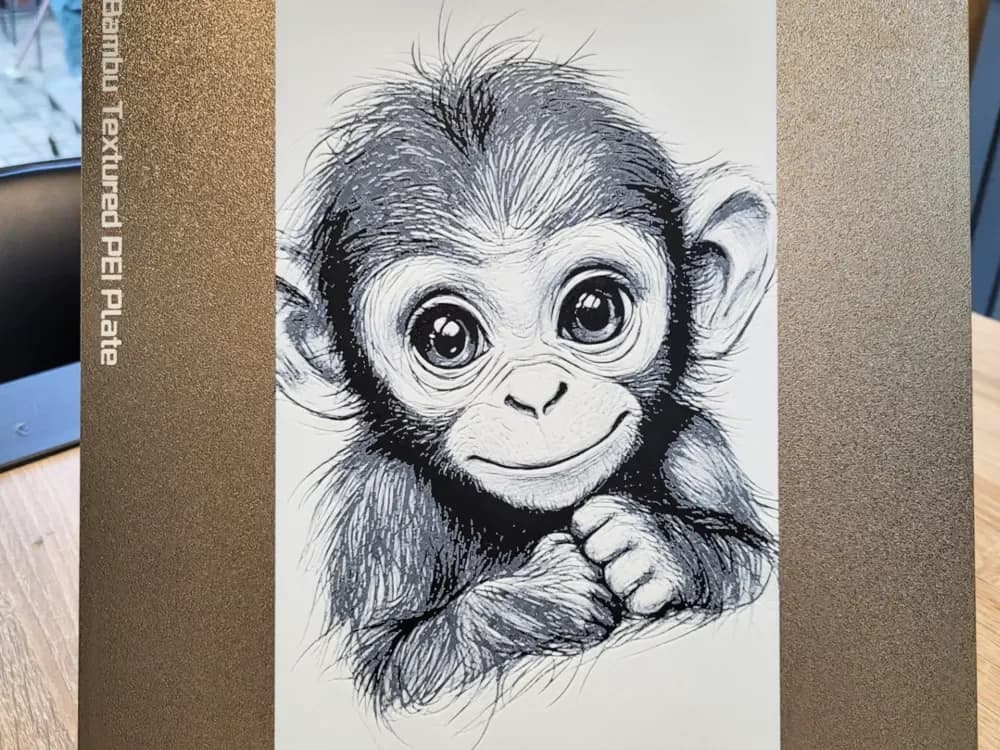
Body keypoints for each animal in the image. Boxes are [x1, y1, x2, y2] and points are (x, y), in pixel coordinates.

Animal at [276, 36, 777, 719]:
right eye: (447, 337)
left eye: (593, 309)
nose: (536, 394)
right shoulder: (382, 510)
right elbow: (395, 668)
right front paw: (546, 591)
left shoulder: (697, 447)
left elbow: (756, 563)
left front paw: (655, 547)